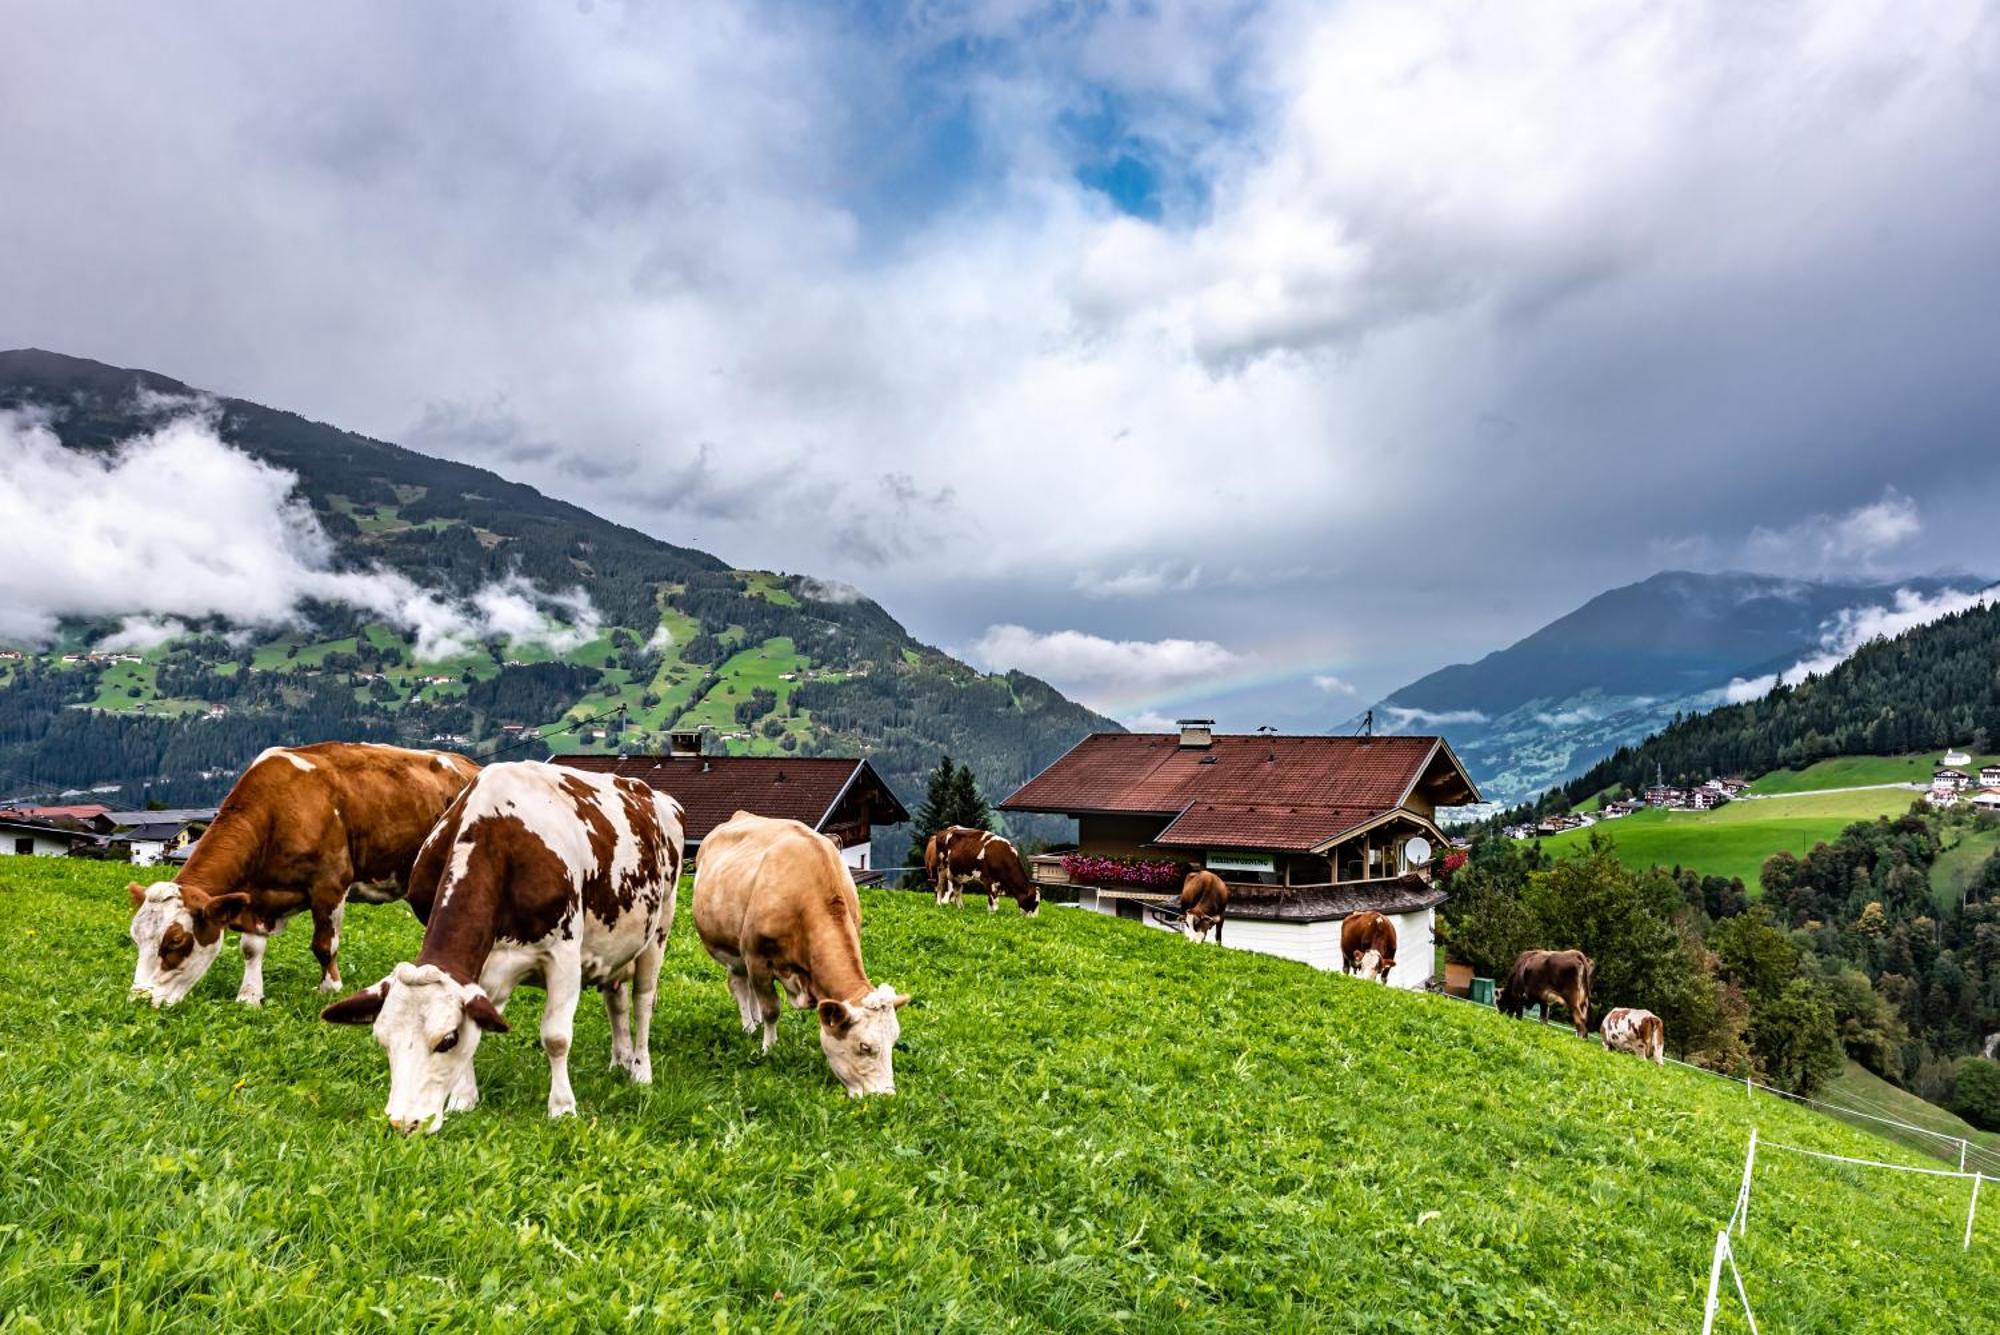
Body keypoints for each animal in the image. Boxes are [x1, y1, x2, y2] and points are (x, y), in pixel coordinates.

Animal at [129, 735, 480, 1007]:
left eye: (175, 942)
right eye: (136, 938)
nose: (139, 999)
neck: (277, 811)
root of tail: (470, 765)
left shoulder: (330, 885)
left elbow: (324, 945)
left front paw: (329, 988)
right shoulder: (256, 897)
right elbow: (250, 948)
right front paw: (249, 996)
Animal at [320, 759, 680, 1135]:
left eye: (446, 1039)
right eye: (381, 1039)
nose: (404, 1123)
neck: (497, 838)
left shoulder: (564, 952)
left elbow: (556, 1036)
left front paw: (562, 1107)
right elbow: (479, 1020)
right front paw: (464, 1099)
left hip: (659, 930)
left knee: (642, 1001)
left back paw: (640, 1070)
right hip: (615, 945)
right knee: (617, 1000)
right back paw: (620, 1060)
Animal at [688, 815, 908, 1095]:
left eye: (894, 1041)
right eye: (864, 1047)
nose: (885, 1096)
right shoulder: (757, 958)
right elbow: (772, 1009)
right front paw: (769, 1048)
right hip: (734, 951)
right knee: (740, 986)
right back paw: (749, 1025)